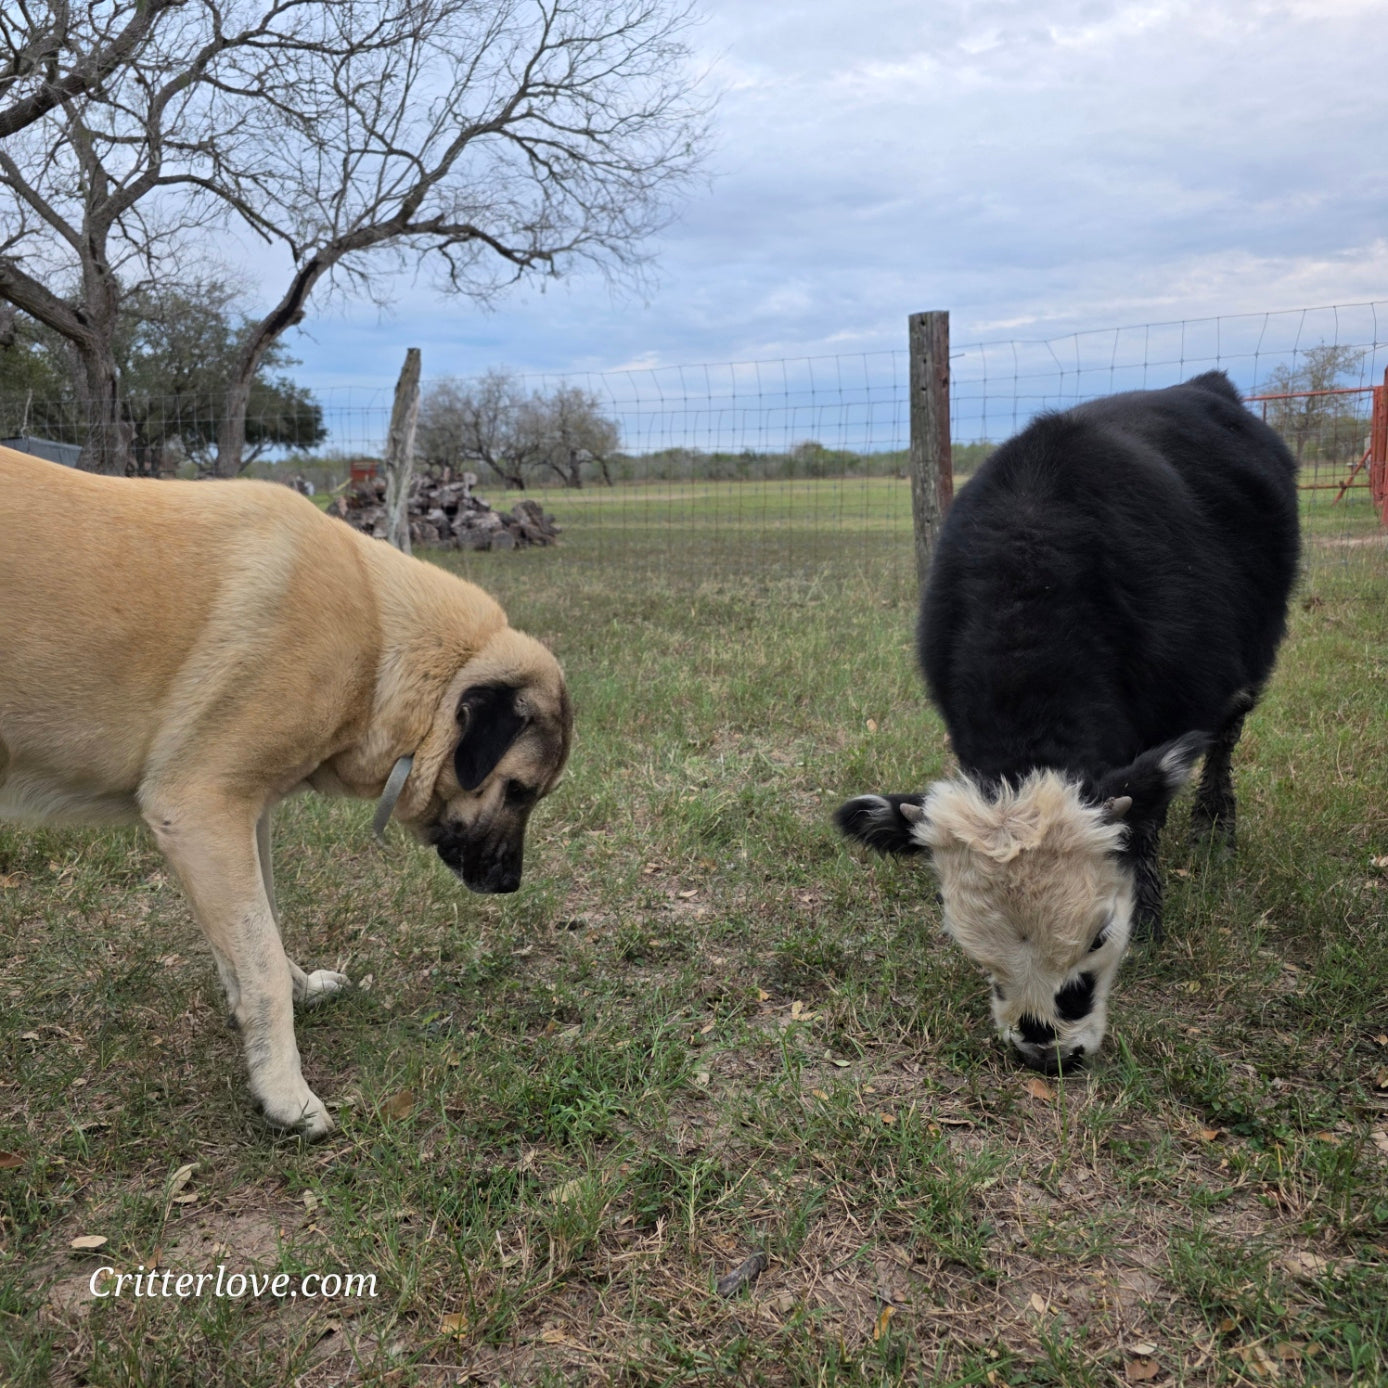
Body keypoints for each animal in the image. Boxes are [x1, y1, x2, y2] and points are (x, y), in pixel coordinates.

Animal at [836, 371, 1299, 1073]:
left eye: (1102, 933)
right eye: (966, 939)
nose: (1044, 1051)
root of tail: (1207, 385)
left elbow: (1148, 821)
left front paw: (1154, 909)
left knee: (1227, 737)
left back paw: (1215, 824)